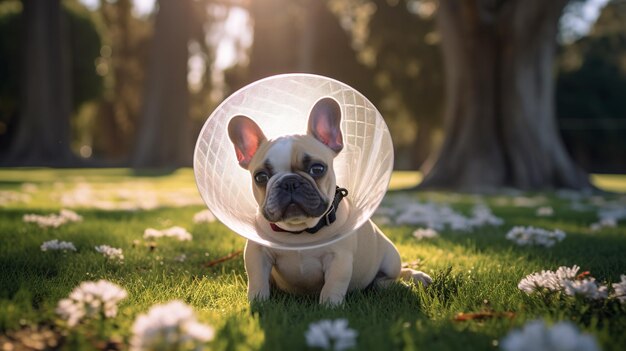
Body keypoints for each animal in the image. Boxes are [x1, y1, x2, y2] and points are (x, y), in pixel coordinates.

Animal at [227, 97, 432, 306]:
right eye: (260, 177)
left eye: (317, 169)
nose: (289, 182)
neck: (299, 232)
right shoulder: (257, 253)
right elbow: (257, 279)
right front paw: (258, 301)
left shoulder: (339, 259)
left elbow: (334, 283)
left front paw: (329, 305)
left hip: (391, 257)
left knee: (393, 274)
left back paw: (414, 277)